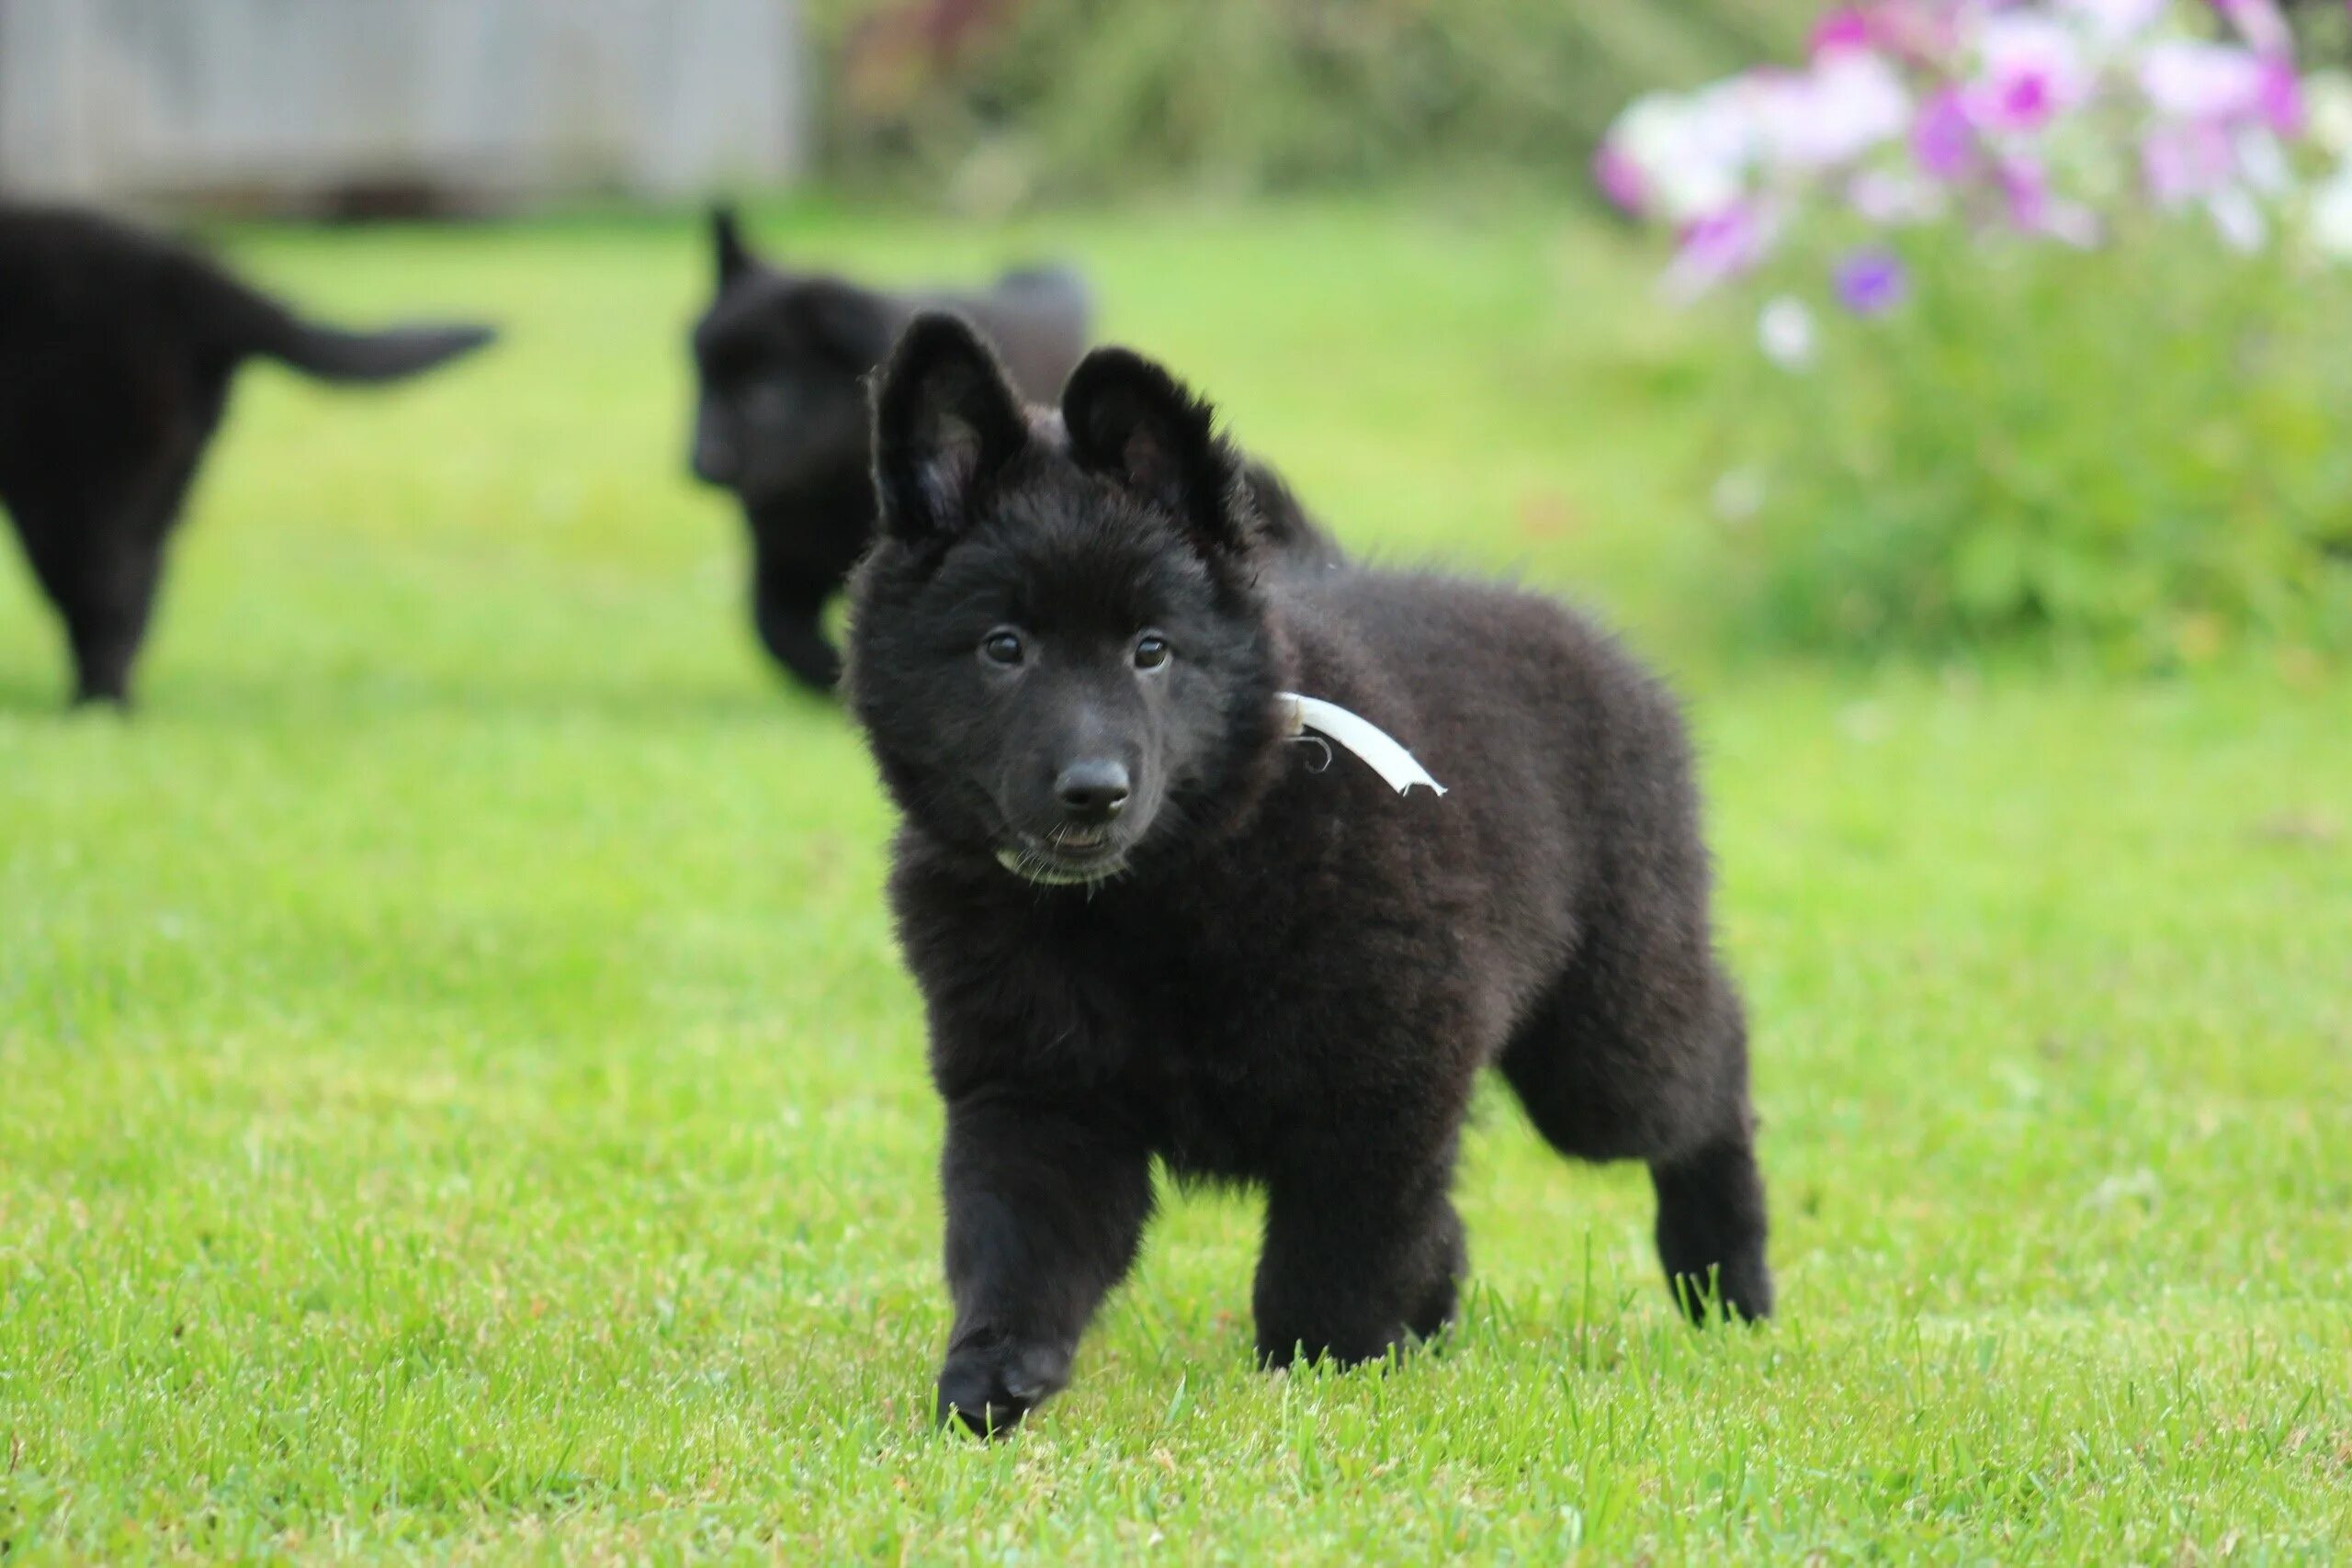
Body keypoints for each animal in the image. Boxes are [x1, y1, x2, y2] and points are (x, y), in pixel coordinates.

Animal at [0, 205, 496, 709]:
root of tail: (183, 267)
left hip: (74, 483)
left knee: (109, 593)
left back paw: (93, 707)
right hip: (153, 478)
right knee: (139, 590)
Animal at [686, 207, 1091, 691]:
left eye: (765, 394)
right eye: (701, 380)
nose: (699, 463)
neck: (820, 489)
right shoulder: (782, 560)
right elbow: (774, 629)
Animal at [846, 312, 1769, 1438]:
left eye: (1151, 649)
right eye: (1003, 647)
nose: (1094, 791)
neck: (1162, 894)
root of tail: (1599, 647)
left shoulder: (1386, 1076)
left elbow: (1333, 1252)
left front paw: (1323, 1370)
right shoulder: (1035, 1091)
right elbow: (1019, 1244)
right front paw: (993, 1373)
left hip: (1601, 1044)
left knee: (1713, 1060)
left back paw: (1726, 1279)